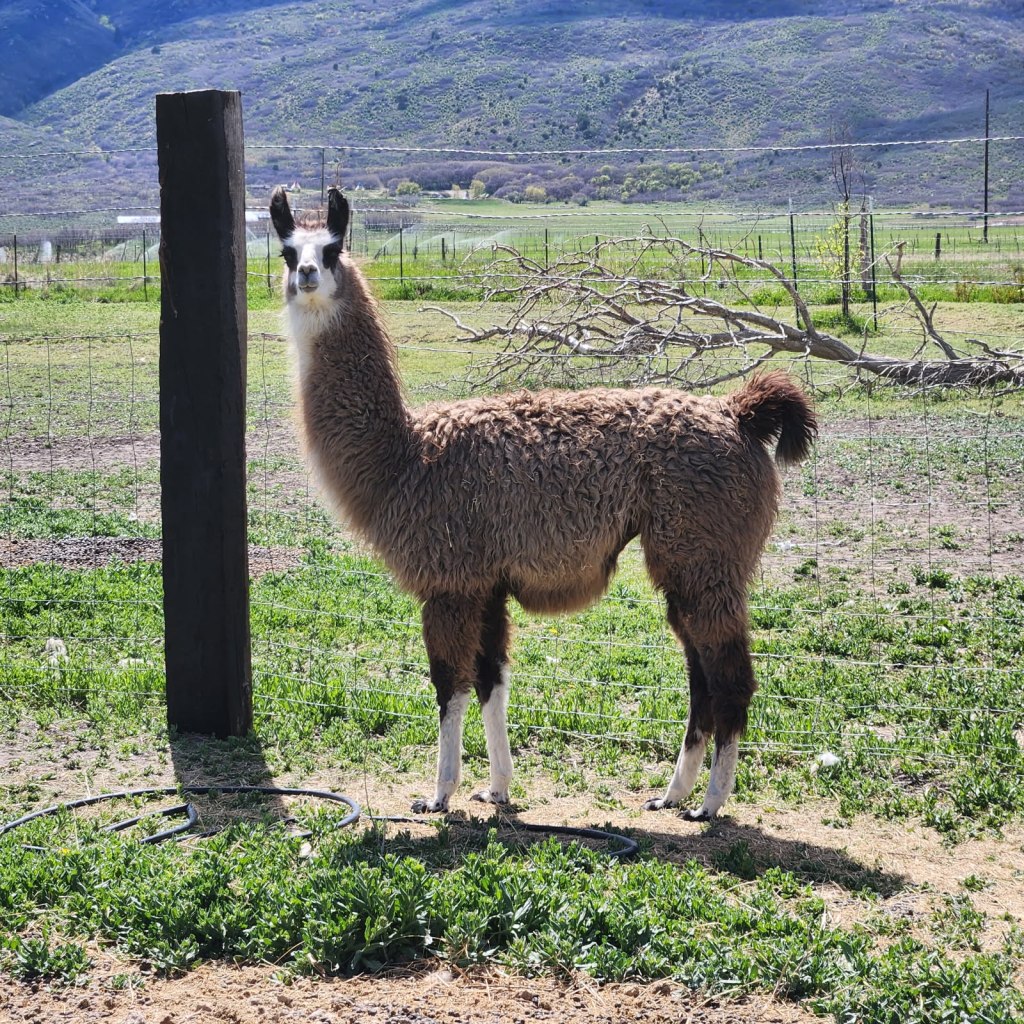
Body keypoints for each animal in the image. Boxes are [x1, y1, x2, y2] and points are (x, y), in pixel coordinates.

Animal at [271, 185, 817, 820]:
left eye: (333, 248)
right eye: (287, 251)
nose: (307, 274)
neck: (405, 457)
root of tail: (739, 414)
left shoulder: (449, 579)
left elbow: (448, 685)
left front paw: (439, 794)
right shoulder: (485, 582)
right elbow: (492, 682)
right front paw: (497, 788)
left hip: (702, 551)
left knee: (729, 678)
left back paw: (708, 804)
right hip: (692, 559)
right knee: (700, 675)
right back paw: (671, 793)